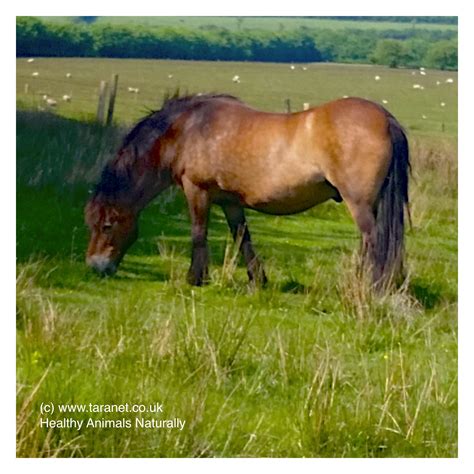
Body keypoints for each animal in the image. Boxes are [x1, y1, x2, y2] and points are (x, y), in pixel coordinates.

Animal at [86, 91, 412, 286]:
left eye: (106, 226)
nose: (95, 266)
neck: (187, 130)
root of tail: (385, 119)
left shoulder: (197, 191)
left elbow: (199, 233)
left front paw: (196, 278)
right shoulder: (230, 202)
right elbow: (243, 237)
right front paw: (258, 279)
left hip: (359, 203)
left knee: (374, 241)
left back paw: (369, 286)